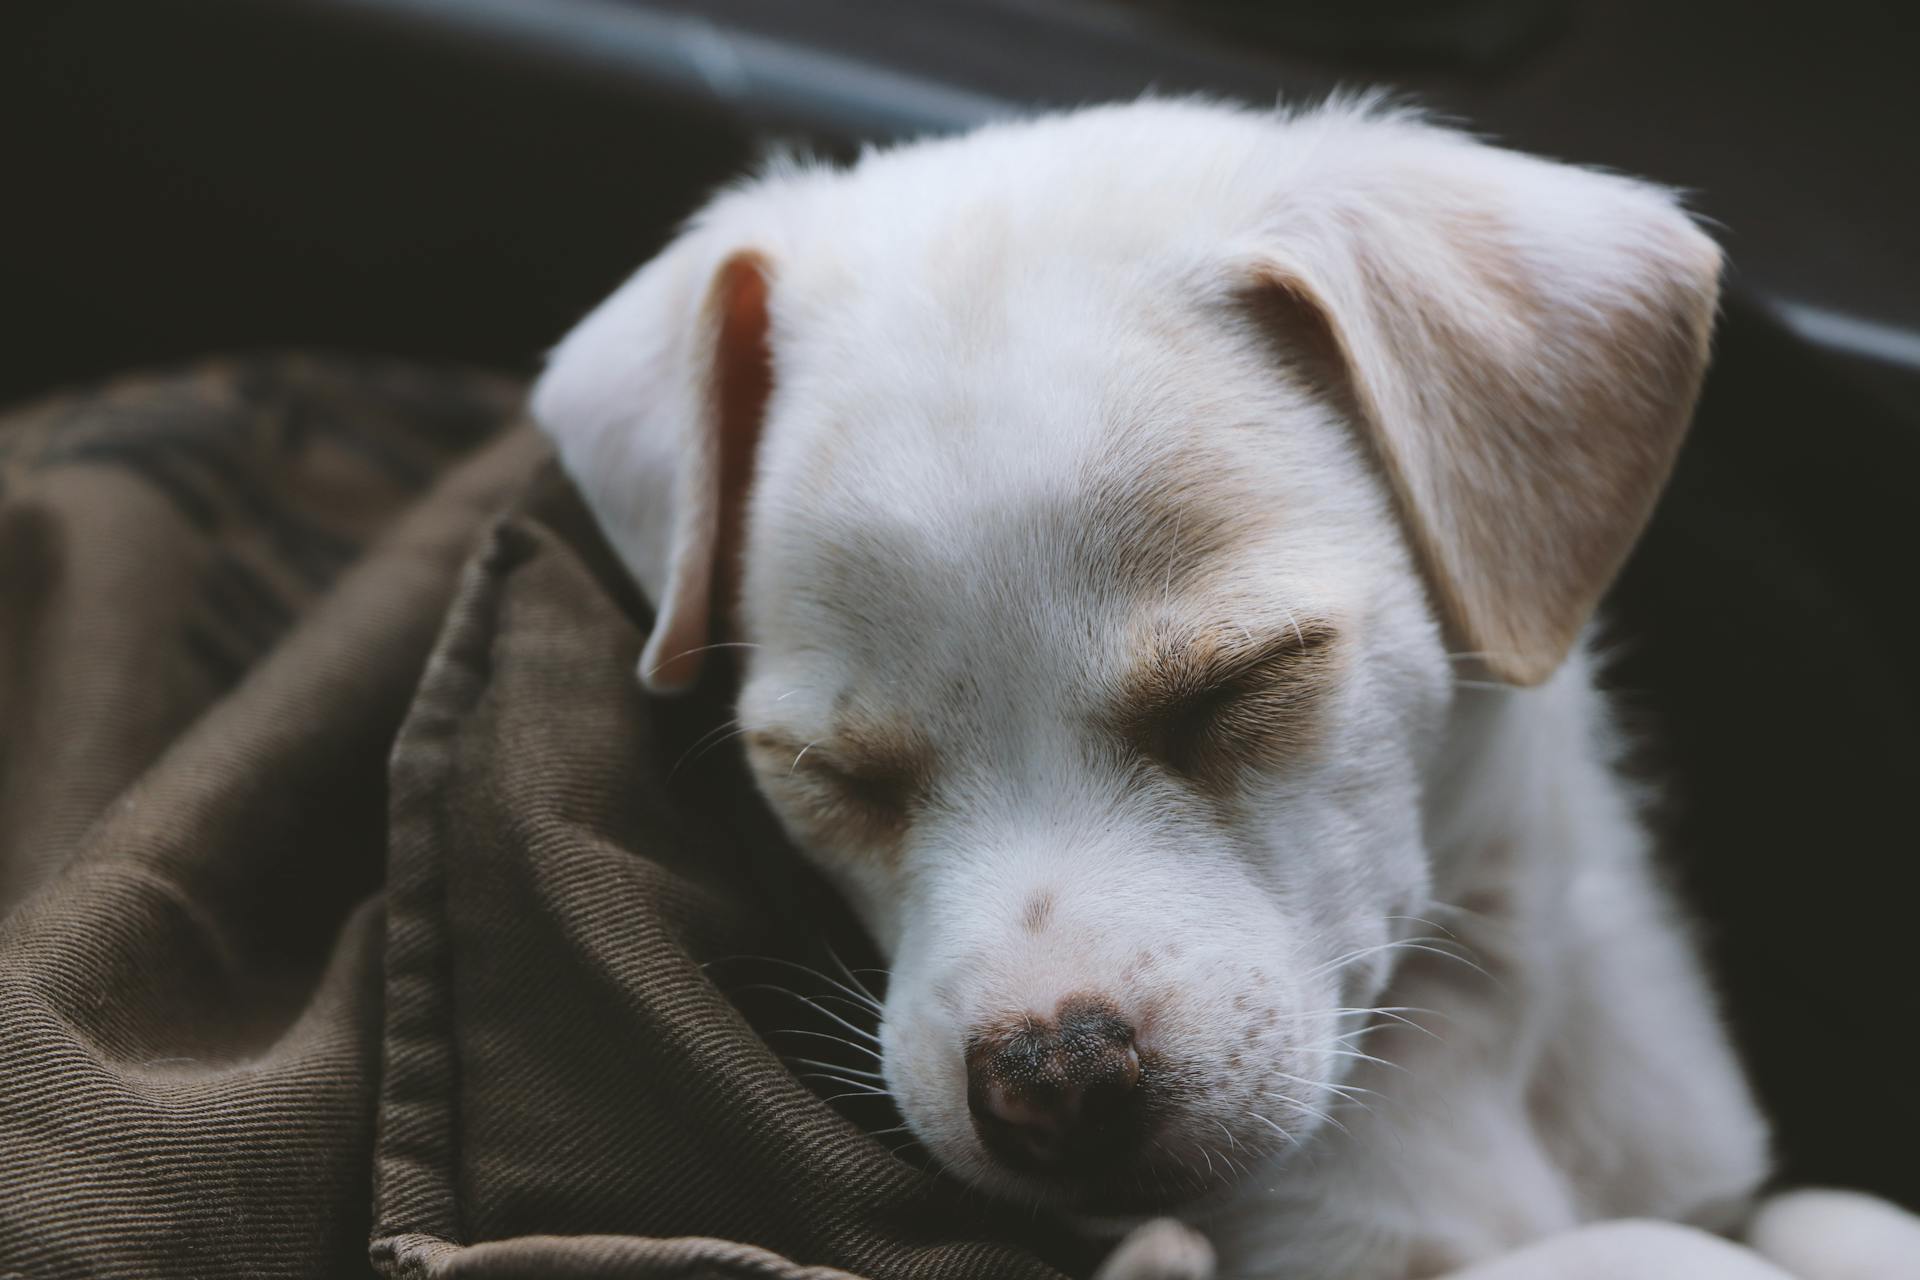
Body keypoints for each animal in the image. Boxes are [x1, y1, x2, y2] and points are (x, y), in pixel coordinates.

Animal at [537, 100, 1920, 1280]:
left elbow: (1799, 1216)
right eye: (828, 773)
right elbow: (1659, 1249)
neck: (1480, 1050)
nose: (1051, 1081)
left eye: (1243, 682)